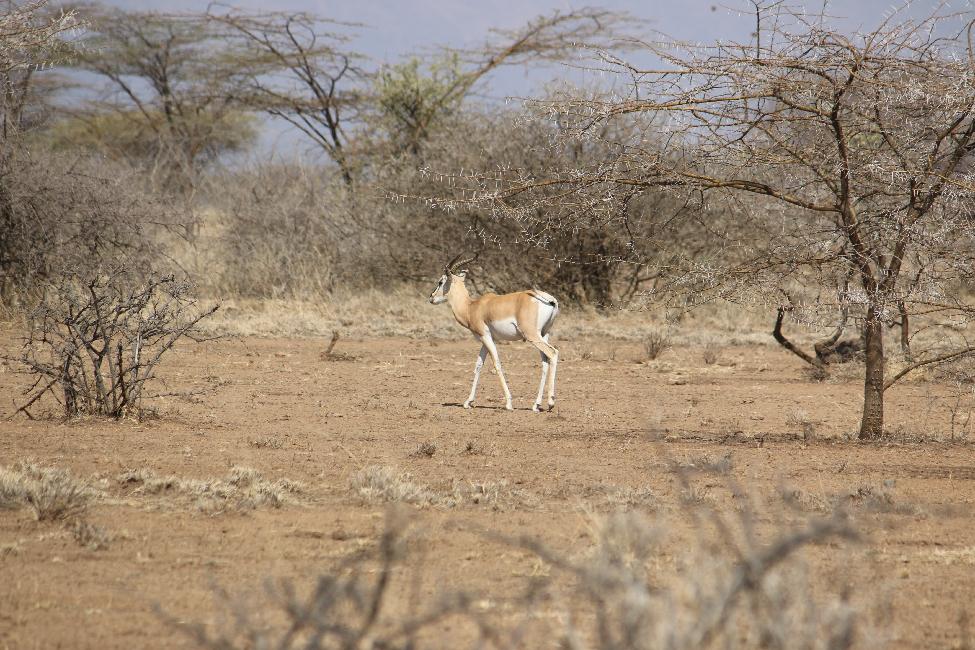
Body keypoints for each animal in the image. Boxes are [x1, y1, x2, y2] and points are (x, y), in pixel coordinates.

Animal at [429, 253, 560, 412]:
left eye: (441, 281)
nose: (431, 297)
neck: (471, 307)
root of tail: (550, 299)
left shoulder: (485, 336)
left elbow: (496, 364)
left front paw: (508, 403)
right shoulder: (485, 339)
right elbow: (478, 366)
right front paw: (468, 402)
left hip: (532, 336)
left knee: (553, 353)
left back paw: (551, 403)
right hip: (544, 334)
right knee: (545, 360)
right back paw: (536, 404)